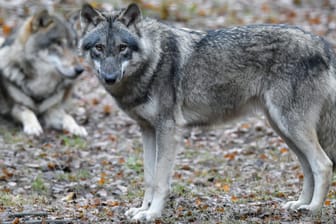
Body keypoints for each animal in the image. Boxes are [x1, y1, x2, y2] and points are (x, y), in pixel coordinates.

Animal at [79, 2, 336, 221]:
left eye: (122, 48)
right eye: (99, 48)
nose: (110, 78)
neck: (153, 61)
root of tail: (323, 45)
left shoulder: (168, 130)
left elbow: (161, 180)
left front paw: (152, 214)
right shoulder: (147, 130)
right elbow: (149, 178)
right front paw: (142, 210)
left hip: (291, 126)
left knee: (323, 164)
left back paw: (313, 209)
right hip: (283, 128)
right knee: (308, 167)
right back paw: (300, 204)